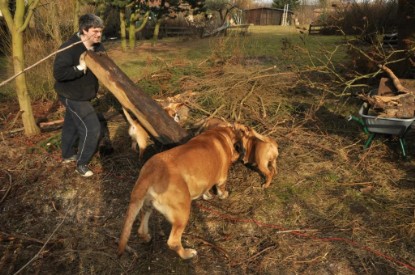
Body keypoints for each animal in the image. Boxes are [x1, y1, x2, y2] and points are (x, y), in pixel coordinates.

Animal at [118, 124, 247, 260]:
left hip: (147, 206)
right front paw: (224, 194)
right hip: (182, 212)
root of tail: (149, 174)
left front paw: (207, 195)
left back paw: (147, 238)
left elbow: (206, 189)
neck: (220, 133)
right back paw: (187, 254)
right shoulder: (222, 178)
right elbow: (221, 189)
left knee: (141, 230)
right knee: (173, 241)